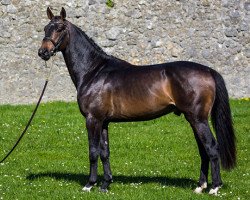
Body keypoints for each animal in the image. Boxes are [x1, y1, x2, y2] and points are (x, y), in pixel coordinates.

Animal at [38, 7, 235, 195]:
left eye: (60, 28)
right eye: (46, 28)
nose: (43, 52)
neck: (94, 71)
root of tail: (208, 71)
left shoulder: (92, 119)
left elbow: (93, 152)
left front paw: (90, 184)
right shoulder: (103, 122)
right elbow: (105, 152)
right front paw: (105, 184)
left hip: (198, 119)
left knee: (211, 148)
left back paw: (214, 187)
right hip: (194, 119)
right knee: (203, 150)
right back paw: (200, 186)